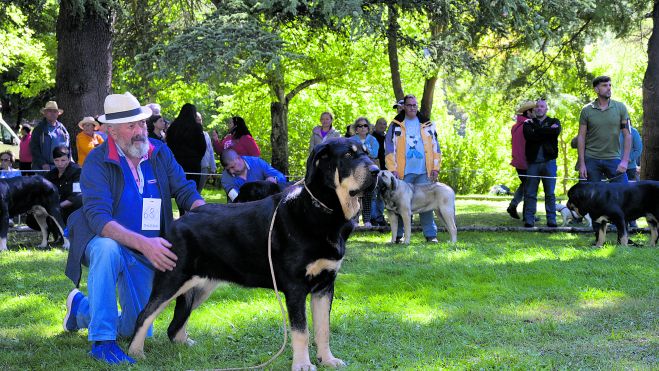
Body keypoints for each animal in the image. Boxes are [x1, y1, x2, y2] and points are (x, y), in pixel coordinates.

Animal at [129, 138, 378, 370]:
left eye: (367, 153)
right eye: (348, 155)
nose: (377, 171)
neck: (324, 211)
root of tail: (176, 223)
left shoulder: (325, 286)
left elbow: (323, 329)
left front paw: (327, 360)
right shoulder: (296, 288)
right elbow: (302, 331)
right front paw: (302, 364)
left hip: (200, 286)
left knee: (177, 321)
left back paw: (183, 343)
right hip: (173, 278)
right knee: (144, 315)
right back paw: (135, 353)